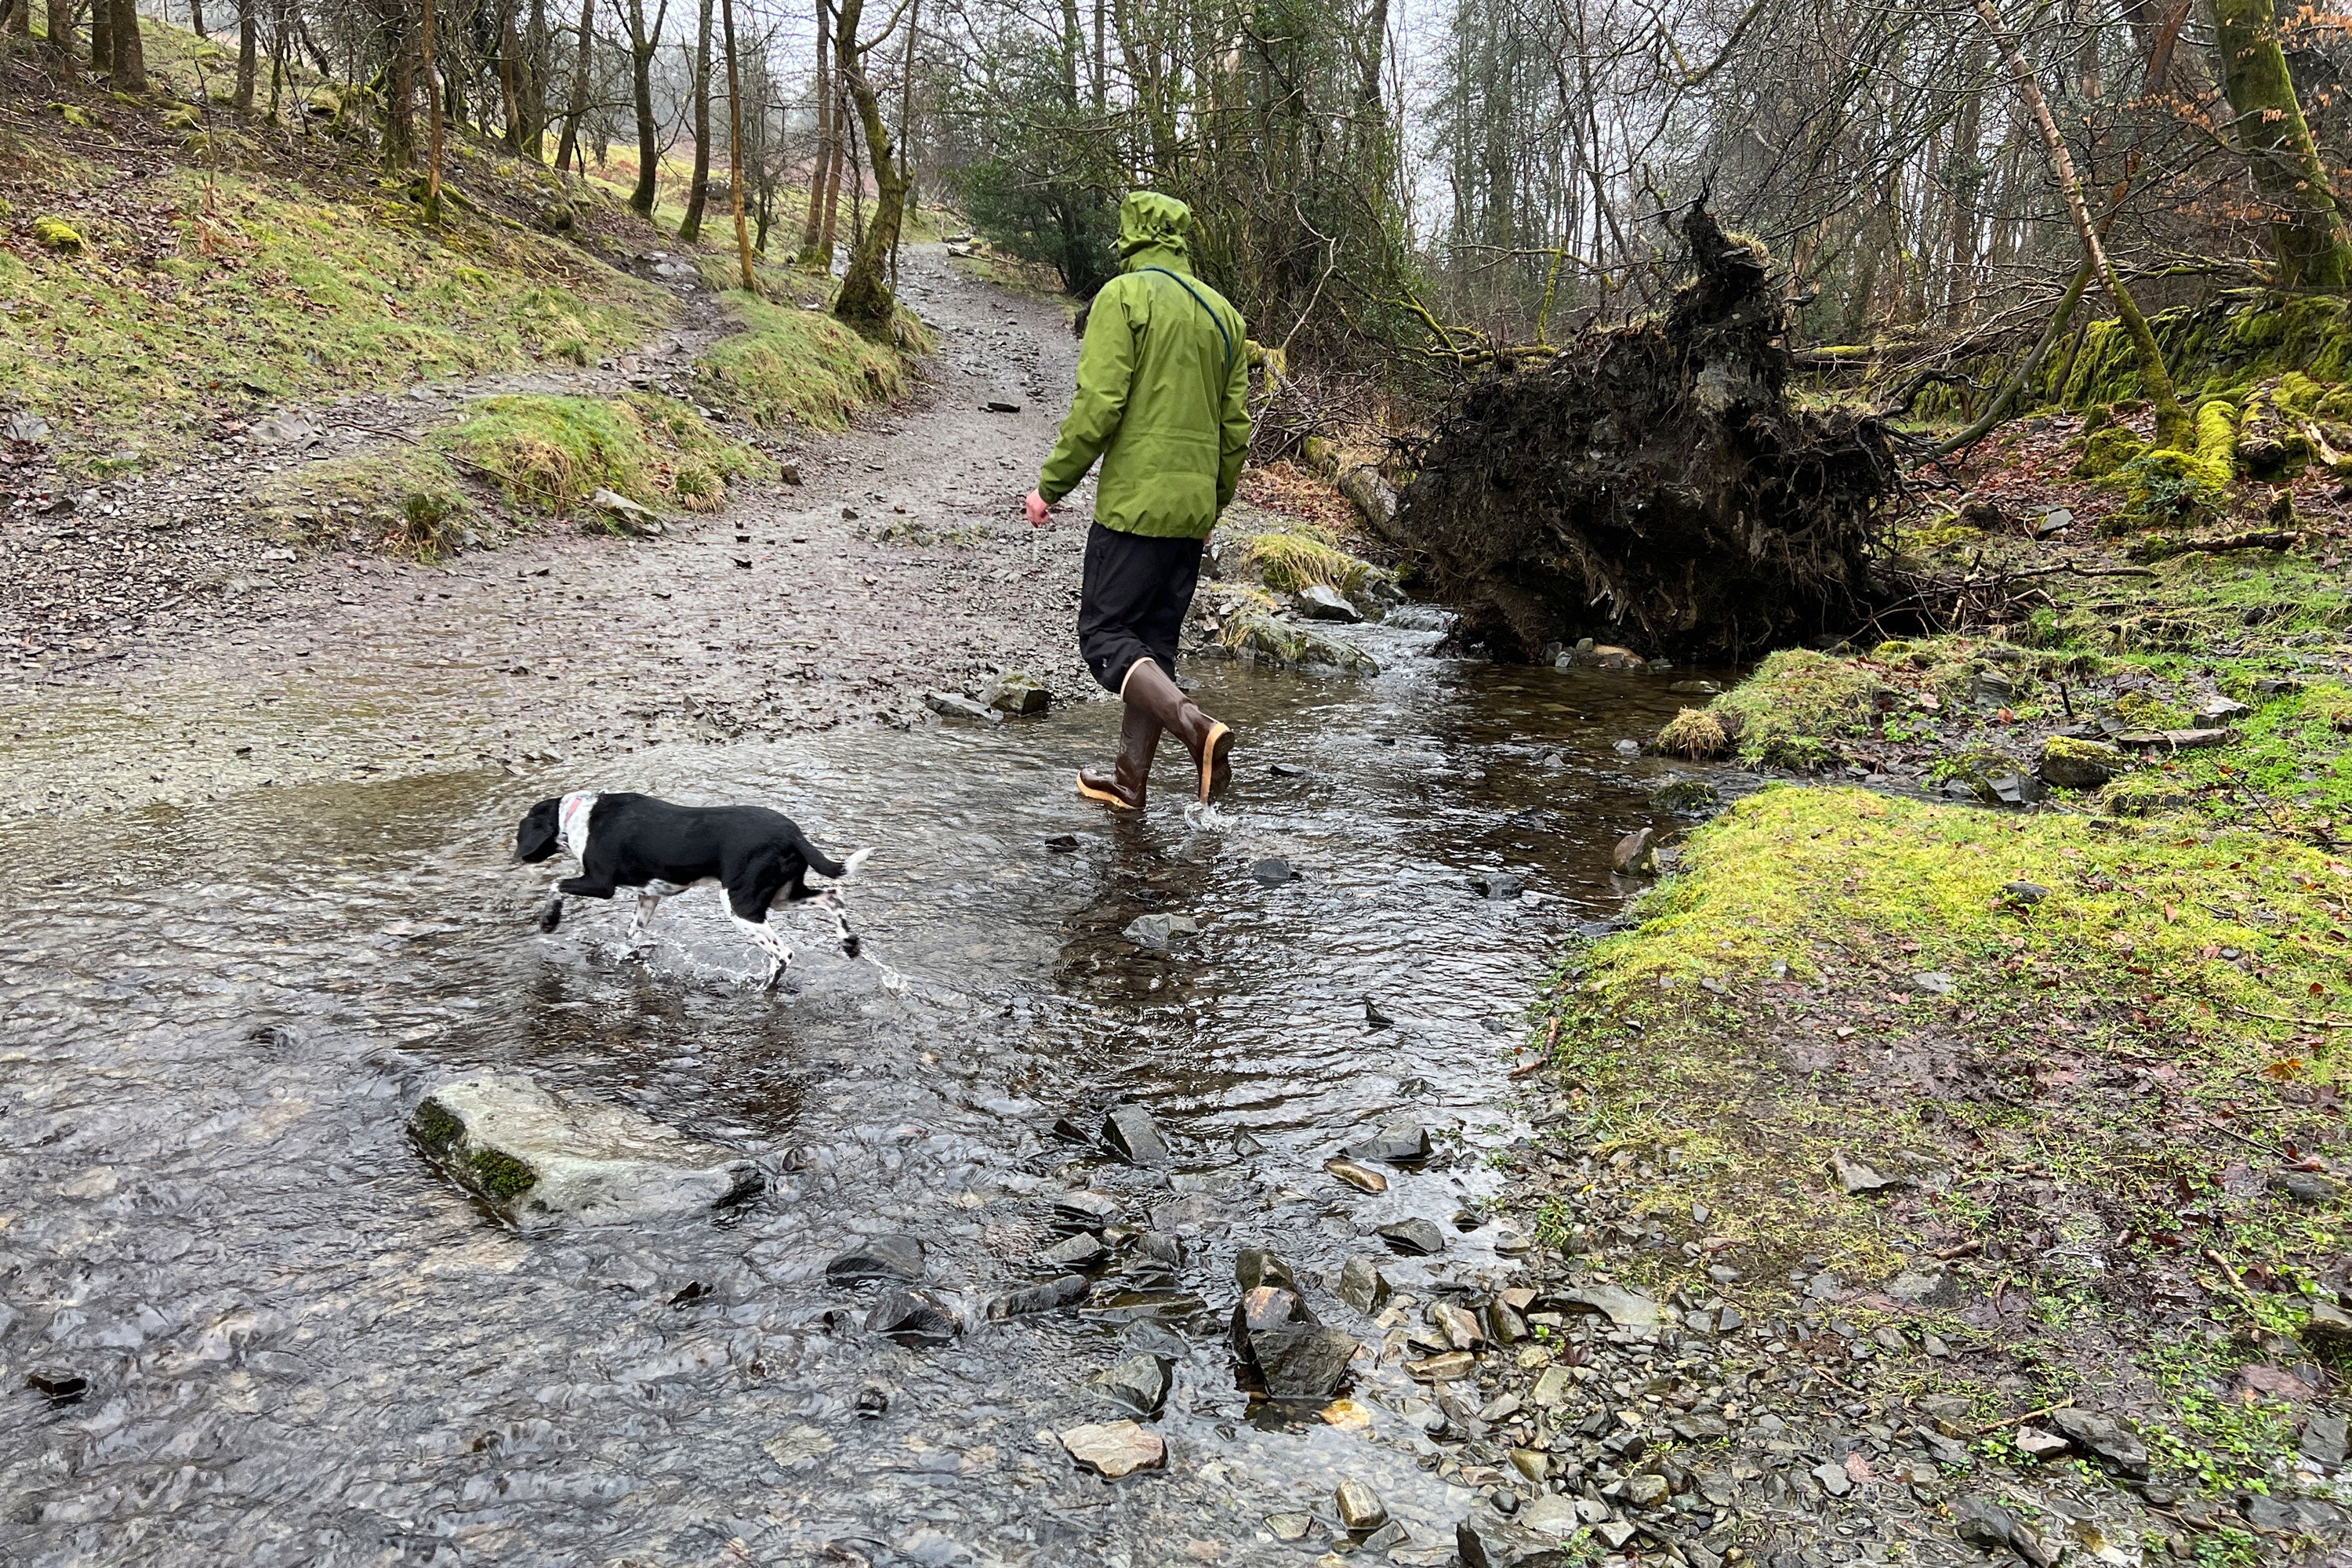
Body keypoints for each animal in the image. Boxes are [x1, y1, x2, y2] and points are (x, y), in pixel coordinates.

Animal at [515, 789, 875, 987]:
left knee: (783, 954)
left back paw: (762, 989)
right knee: (833, 897)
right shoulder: (649, 896)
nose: (519, 856)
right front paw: (626, 956)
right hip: (780, 897)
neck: (577, 816)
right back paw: (849, 943)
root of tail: (794, 834)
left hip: (741, 906)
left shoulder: (600, 883)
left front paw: (549, 920)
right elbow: (633, 934)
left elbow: (556, 884)